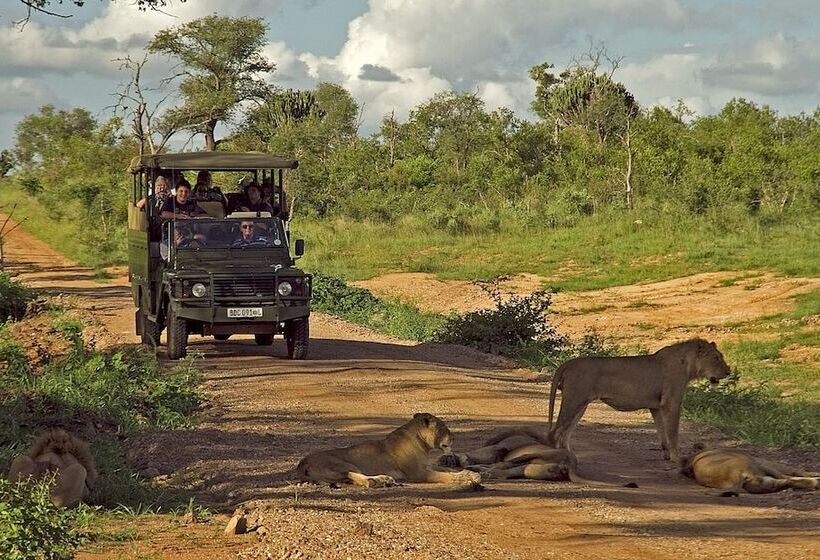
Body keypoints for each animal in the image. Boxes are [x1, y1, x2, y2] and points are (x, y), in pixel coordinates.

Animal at [296, 412, 480, 490]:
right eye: (444, 428)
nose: (454, 438)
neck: (422, 444)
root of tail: (302, 462)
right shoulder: (418, 473)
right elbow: (445, 475)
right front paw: (466, 478)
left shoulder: (426, 466)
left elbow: (446, 468)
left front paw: (471, 473)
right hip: (344, 463)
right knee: (356, 476)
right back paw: (379, 481)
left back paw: (386, 480)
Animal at [544, 336, 732, 464]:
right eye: (716, 358)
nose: (728, 372)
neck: (688, 366)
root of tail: (568, 363)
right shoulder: (671, 403)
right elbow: (673, 432)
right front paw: (678, 458)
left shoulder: (656, 407)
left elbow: (662, 432)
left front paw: (666, 455)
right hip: (574, 401)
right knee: (555, 432)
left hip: (581, 404)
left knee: (565, 433)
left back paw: (572, 457)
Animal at [680, 446, 820, 494]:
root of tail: (737, 476)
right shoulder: (761, 460)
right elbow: (794, 469)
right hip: (756, 463)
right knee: (787, 477)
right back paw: (816, 481)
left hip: (763, 482)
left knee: (786, 481)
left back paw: (814, 483)